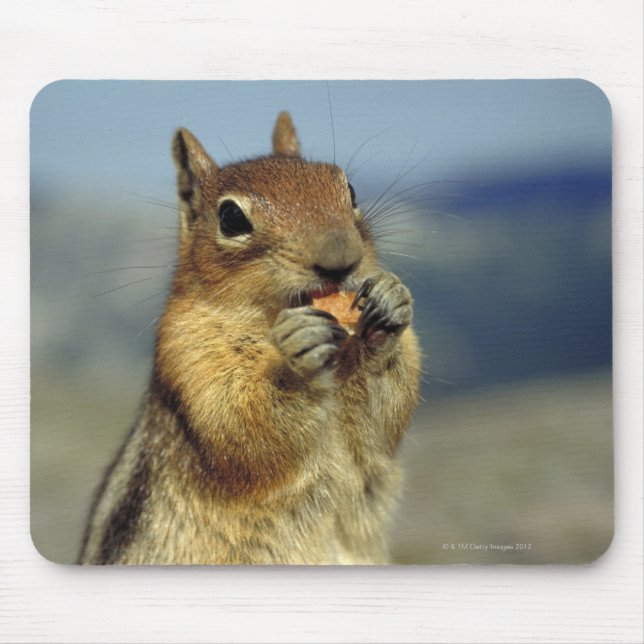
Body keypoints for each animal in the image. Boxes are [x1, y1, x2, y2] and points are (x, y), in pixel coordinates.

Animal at [78, 112, 421, 565]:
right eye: (231, 218)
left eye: (348, 189)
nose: (340, 259)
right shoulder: (191, 360)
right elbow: (246, 426)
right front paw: (296, 359)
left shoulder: (371, 446)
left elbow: (382, 423)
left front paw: (389, 304)